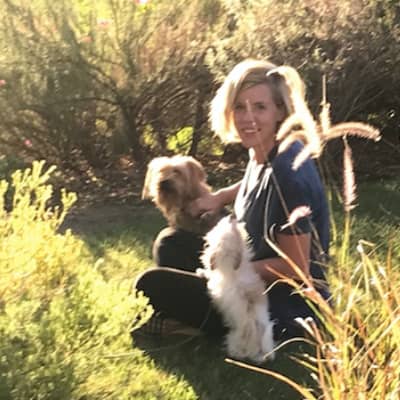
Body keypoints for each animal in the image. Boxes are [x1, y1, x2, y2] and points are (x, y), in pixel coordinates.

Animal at [197, 215, 275, 363]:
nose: (232, 215)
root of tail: (257, 350)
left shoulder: (215, 279)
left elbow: (210, 273)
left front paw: (201, 271)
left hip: (233, 338)